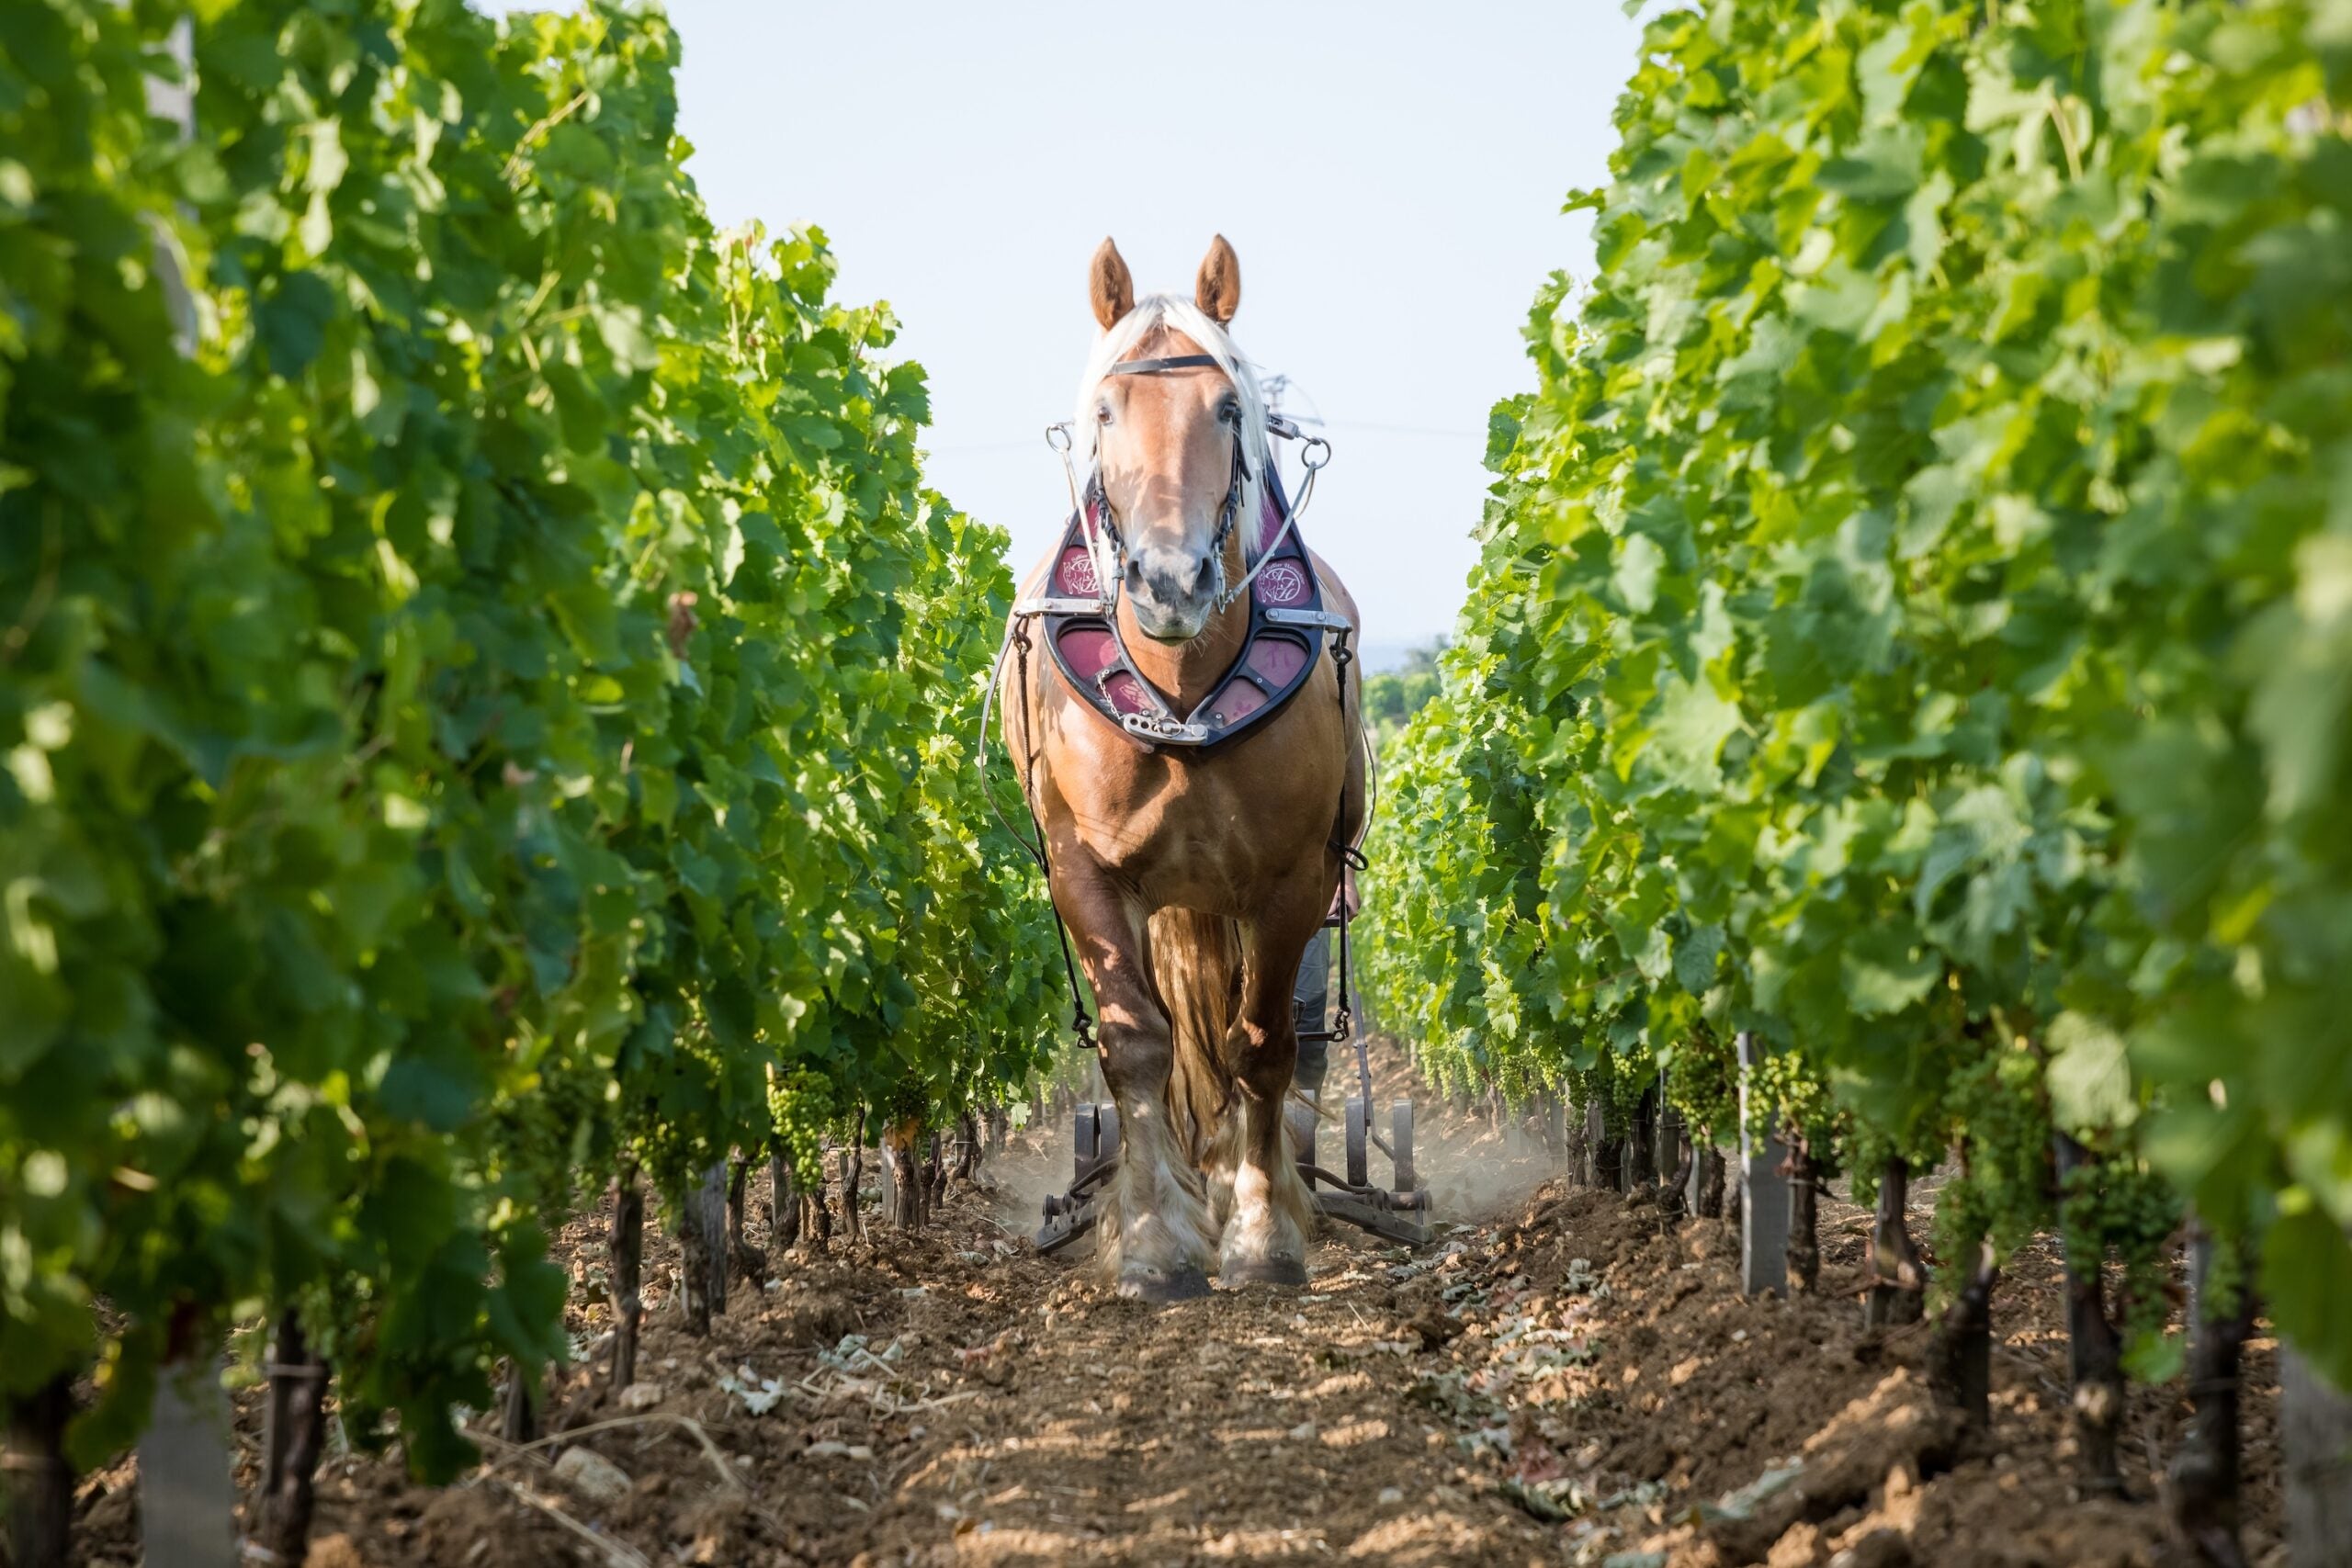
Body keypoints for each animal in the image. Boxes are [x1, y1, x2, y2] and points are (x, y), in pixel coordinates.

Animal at [1004, 235, 1366, 1301]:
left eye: (1229, 409)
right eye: (1104, 412)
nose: (1171, 583)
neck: (1181, 691)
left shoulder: (1292, 880)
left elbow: (1263, 1046)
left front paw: (1261, 1235)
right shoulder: (1084, 869)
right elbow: (1137, 1045)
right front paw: (1152, 1243)